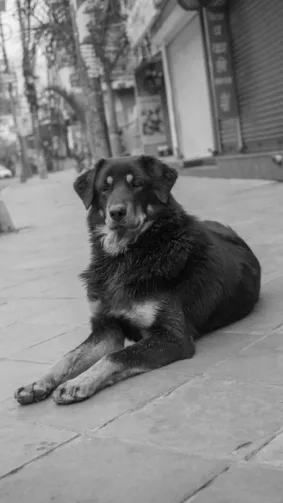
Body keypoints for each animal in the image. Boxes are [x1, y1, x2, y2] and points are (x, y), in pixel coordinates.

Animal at [13, 156, 262, 408]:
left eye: (137, 184)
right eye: (105, 188)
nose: (116, 212)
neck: (127, 256)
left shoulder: (172, 338)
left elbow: (115, 356)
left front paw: (78, 383)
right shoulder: (106, 329)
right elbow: (69, 357)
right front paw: (37, 383)